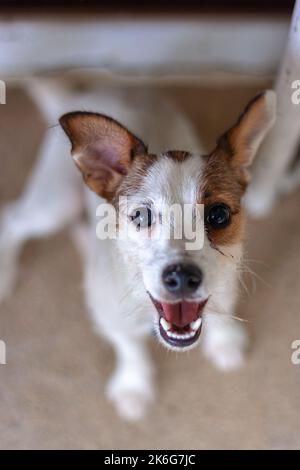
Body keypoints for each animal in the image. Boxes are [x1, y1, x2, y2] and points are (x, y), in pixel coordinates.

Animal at [0, 80, 276, 418]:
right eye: (142, 216)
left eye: (219, 215)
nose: (182, 278)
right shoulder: (110, 315)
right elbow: (130, 348)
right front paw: (134, 386)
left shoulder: (225, 282)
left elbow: (222, 310)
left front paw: (224, 340)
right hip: (55, 204)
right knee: (12, 219)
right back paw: (6, 272)